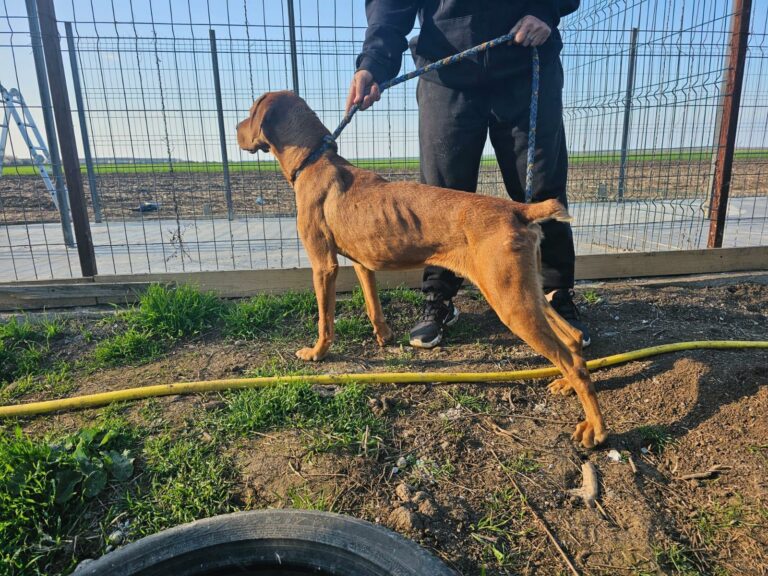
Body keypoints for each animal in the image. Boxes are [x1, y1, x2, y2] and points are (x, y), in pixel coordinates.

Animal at [237, 91, 608, 450]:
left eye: (251, 110)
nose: (235, 130)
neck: (314, 160)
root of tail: (518, 209)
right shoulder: (361, 264)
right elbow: (373, 305)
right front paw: (384, 337)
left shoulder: (323, 265)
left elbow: (324, 320)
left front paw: (316, 353)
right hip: (528, 291)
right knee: (572, 341)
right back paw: (565, 384)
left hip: (510, 301)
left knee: (570, 357)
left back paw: (596, 429)